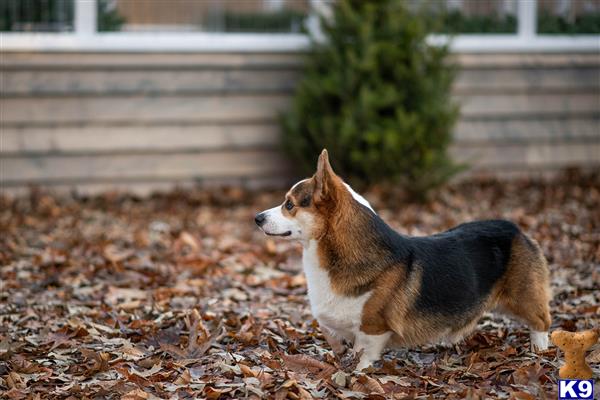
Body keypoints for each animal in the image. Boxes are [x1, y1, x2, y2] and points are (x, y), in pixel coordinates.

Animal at [255, 151, 552, 372]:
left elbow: (364, 353)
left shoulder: (374, 328)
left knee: (541, 321)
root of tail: (515, 228)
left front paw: (357, 372)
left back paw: (539, 350)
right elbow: (331, 330)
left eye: (289, 204)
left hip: (522, 297)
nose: (257, 218)